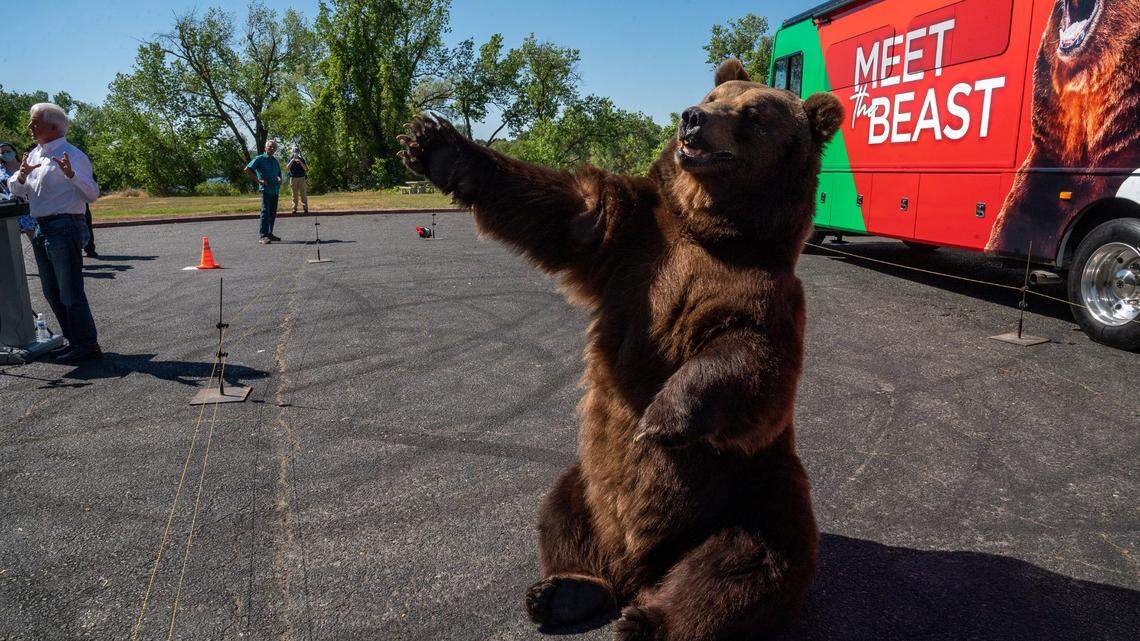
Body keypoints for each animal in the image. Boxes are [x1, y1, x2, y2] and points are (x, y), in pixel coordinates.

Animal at [397, 58, 843, 641]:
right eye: (713, 94)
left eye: (752, 113)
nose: (693, 118)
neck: (714, 232)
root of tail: (641, 566)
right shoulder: (634, 239)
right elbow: (569, 211)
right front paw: (432, 143)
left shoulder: (767, 297)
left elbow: (751, 365)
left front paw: (661, 418)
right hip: (590, 479)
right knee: (563, 512)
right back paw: (565, 591)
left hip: (753, 490)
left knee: (746, 562)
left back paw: (646, 621)